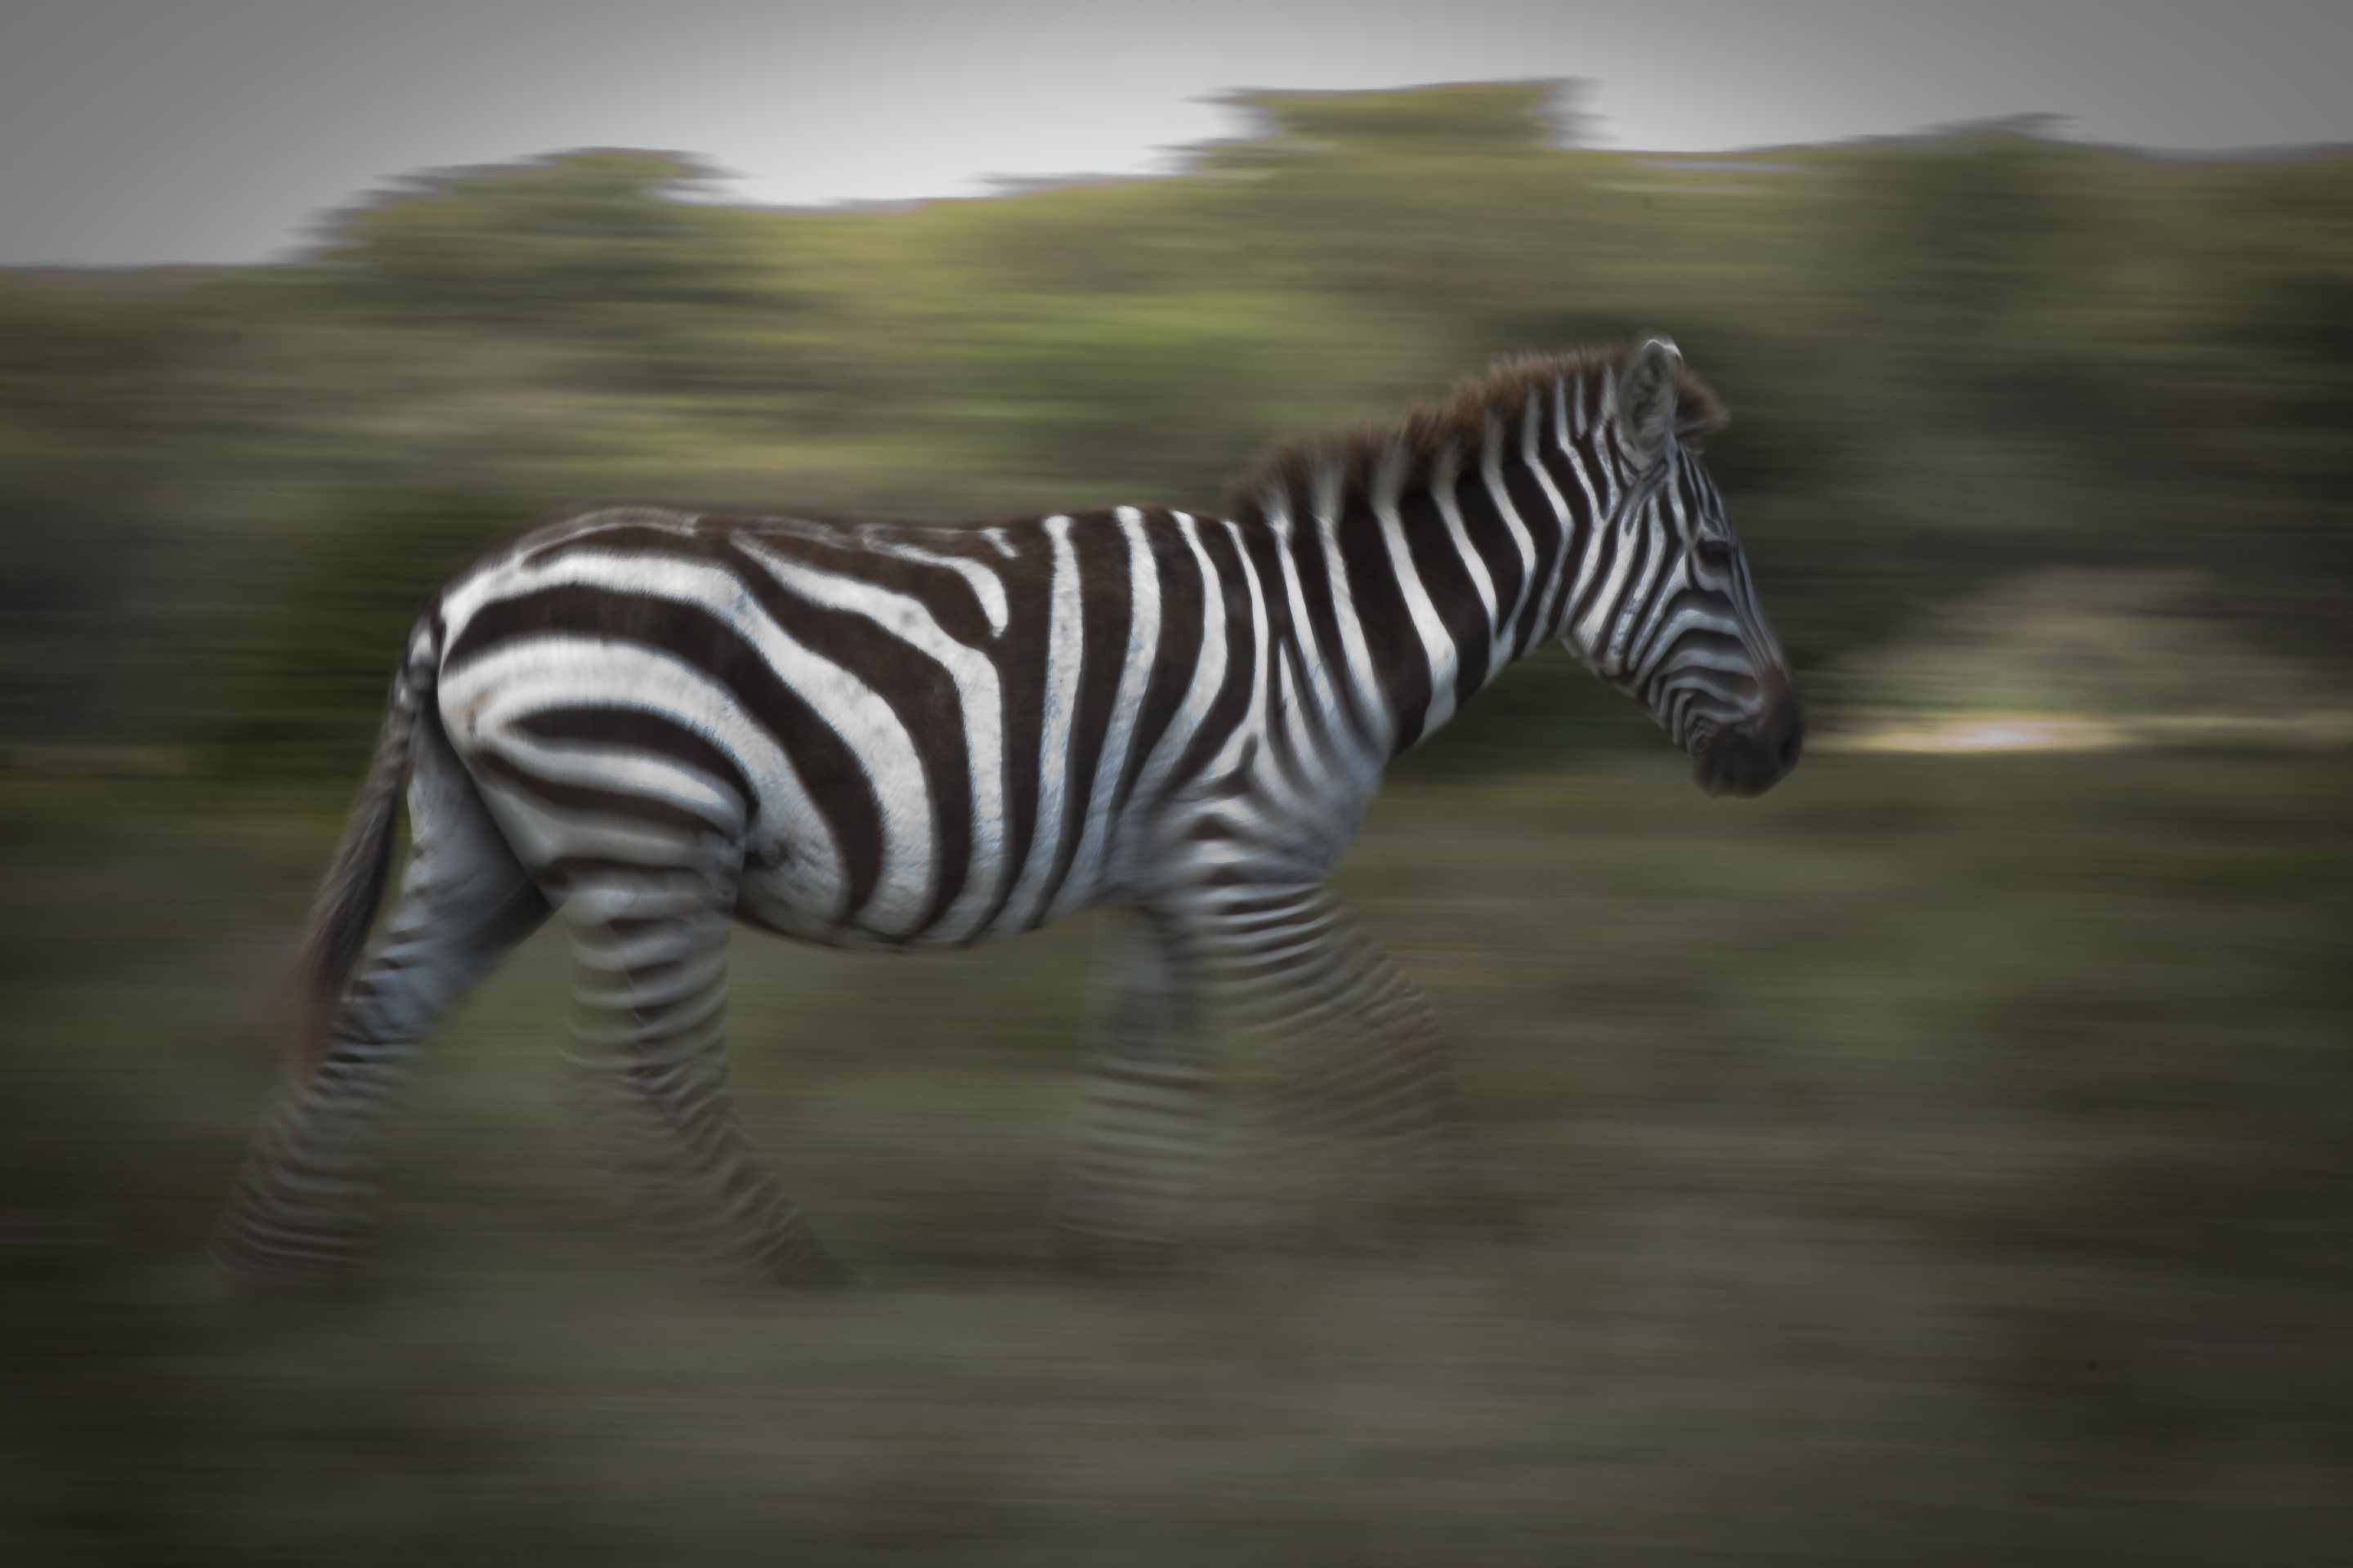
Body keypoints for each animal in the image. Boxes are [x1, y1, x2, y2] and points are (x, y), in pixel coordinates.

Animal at [212, 335, 1802, 1289]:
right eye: (1720, 554)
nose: (1784, 749)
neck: (1333, 637)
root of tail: (457, 596)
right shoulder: (1247, 867)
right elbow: (1393, 1030)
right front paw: (1453, 1229)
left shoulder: (1169, 878)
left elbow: (1150, 1066)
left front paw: (1105, 1256)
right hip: (646, 839)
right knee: (636, 1074)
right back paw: (779, 1272)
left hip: (500, 851)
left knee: (374, 1026)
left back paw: (288, 1269)